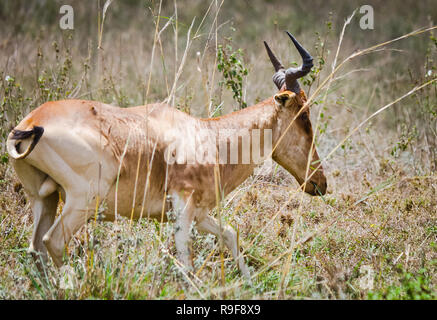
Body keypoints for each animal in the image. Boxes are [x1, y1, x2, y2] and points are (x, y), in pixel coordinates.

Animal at [6, 31, 326, 278]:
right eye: (304, 116)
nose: (320, 183)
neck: (206, 134)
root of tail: (31, 122)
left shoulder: (198, 213)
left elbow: (230, 233)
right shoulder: (183, 208)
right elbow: (186, 263)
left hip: (43, 199)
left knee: (36, 248)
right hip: (82, 200)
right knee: (54, 242)